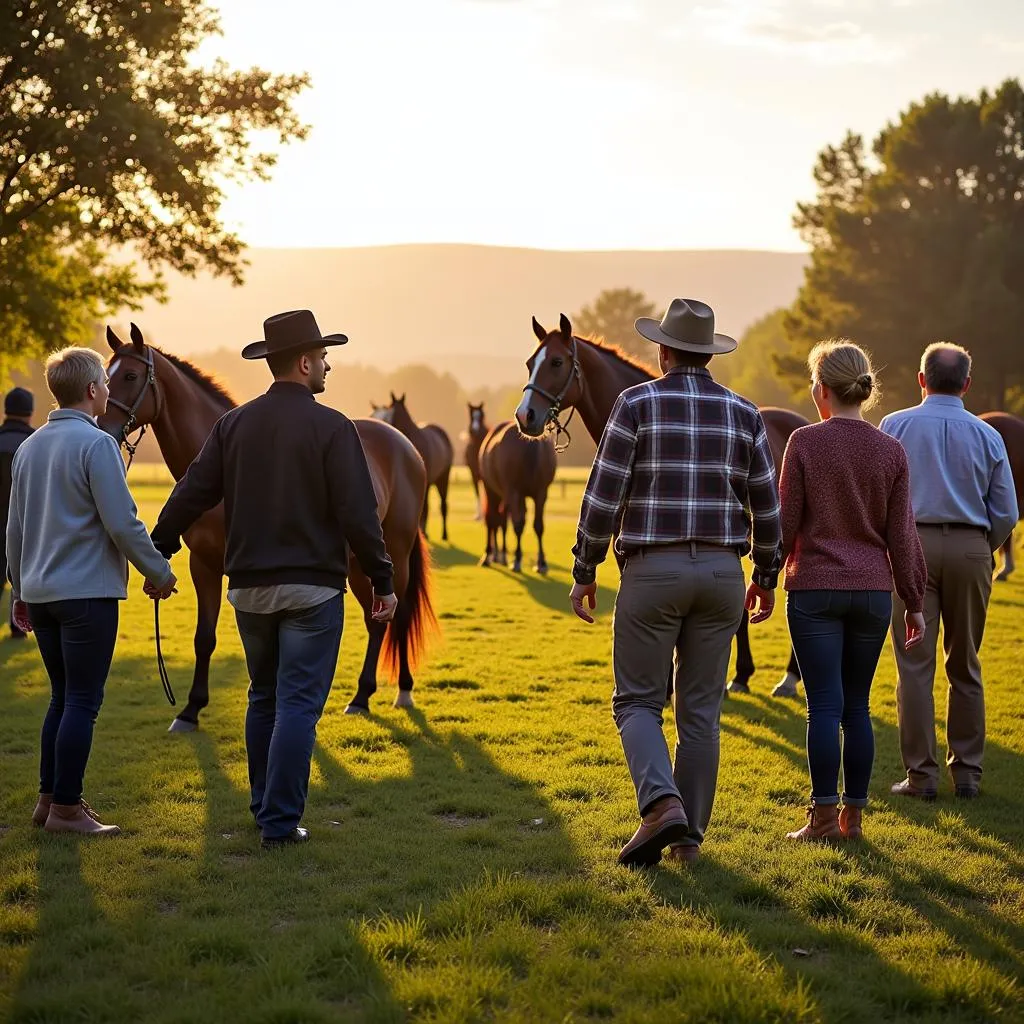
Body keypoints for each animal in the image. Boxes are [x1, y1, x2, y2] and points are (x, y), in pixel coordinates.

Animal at [101, 323, 438, 724]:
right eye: (106, 373)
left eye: (130, 375)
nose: (103, 427)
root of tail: (407, 448)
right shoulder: (204, 565)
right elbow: (205, 638)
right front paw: (191, 710)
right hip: (359, 563)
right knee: (376, 622)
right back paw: (362, 695)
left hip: (395, 555)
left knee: (396, 618)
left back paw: (400, 690)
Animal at [477, 419, 557, 573]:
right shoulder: (515, 493)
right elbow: (518, 525)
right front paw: (517, 559)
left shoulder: (541, 494)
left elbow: (539, 526)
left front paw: (541, 562)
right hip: (491, 490)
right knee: (492, 519)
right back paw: (488, 555)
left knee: (500, 519)